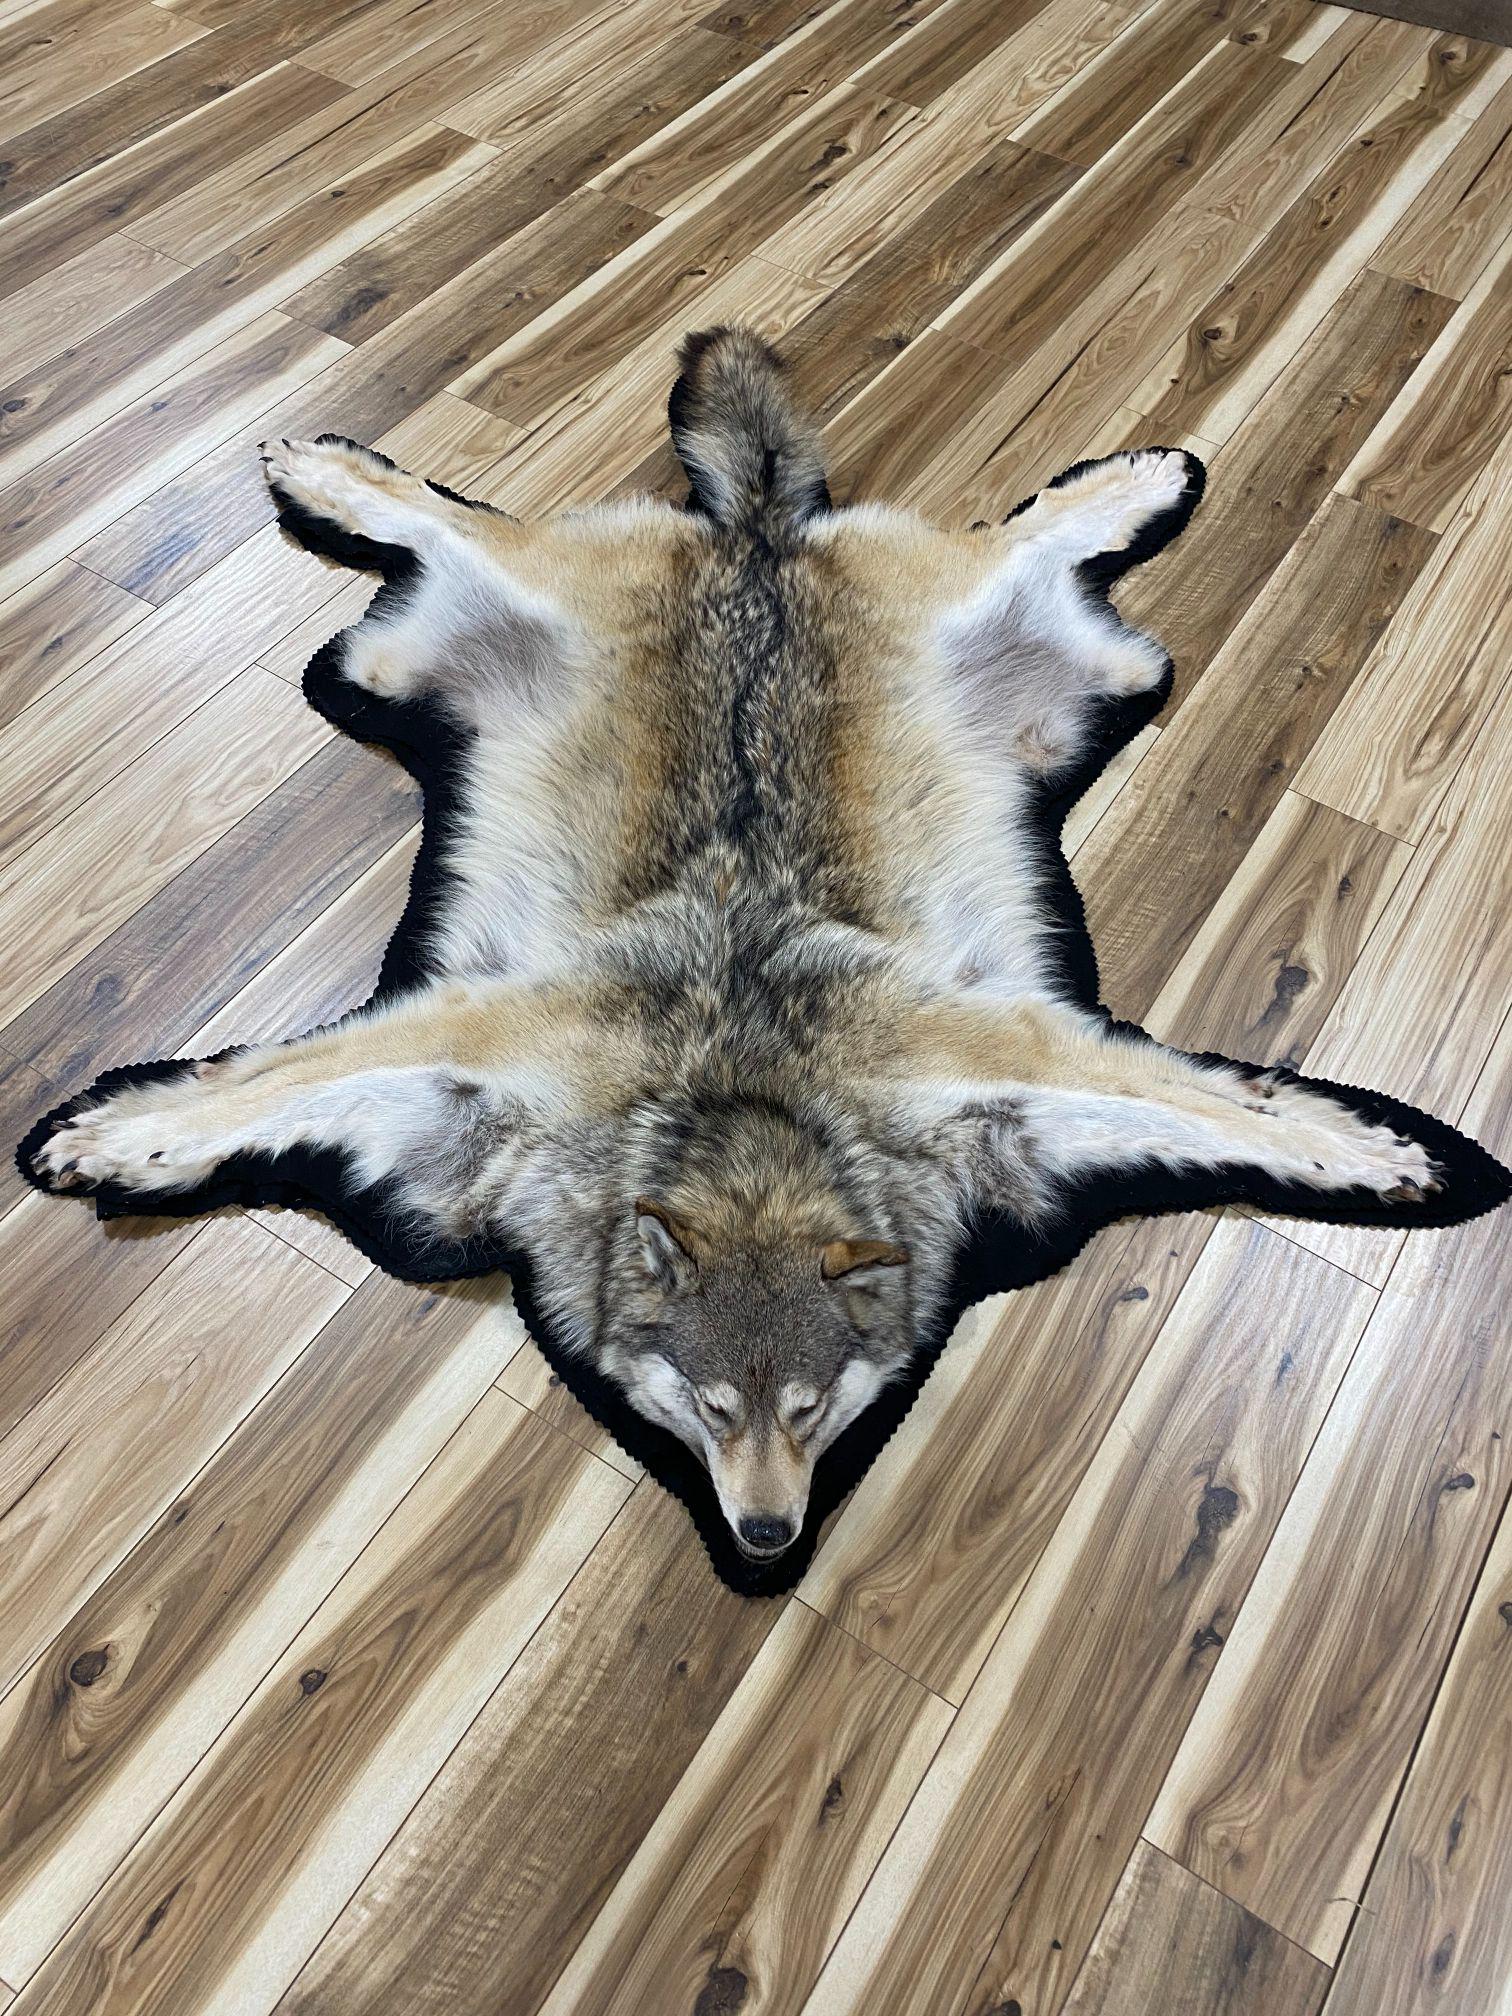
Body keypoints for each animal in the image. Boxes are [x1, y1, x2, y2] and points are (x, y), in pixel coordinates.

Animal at [27, 327, 1464, 1565]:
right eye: (711, 1411)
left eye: (816, 1413)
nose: (767, 1547)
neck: (746, 1120)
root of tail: (757, 536)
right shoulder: (482, 1032)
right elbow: (256, 1089)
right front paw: (110, 1135)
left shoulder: (1004, 1055)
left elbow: (1236, 1112)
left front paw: (1385, 1152)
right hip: (485, 614)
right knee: (452, 513)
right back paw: (325, 468)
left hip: (1001, 625)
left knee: (1026, 525)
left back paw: (1142, 479)